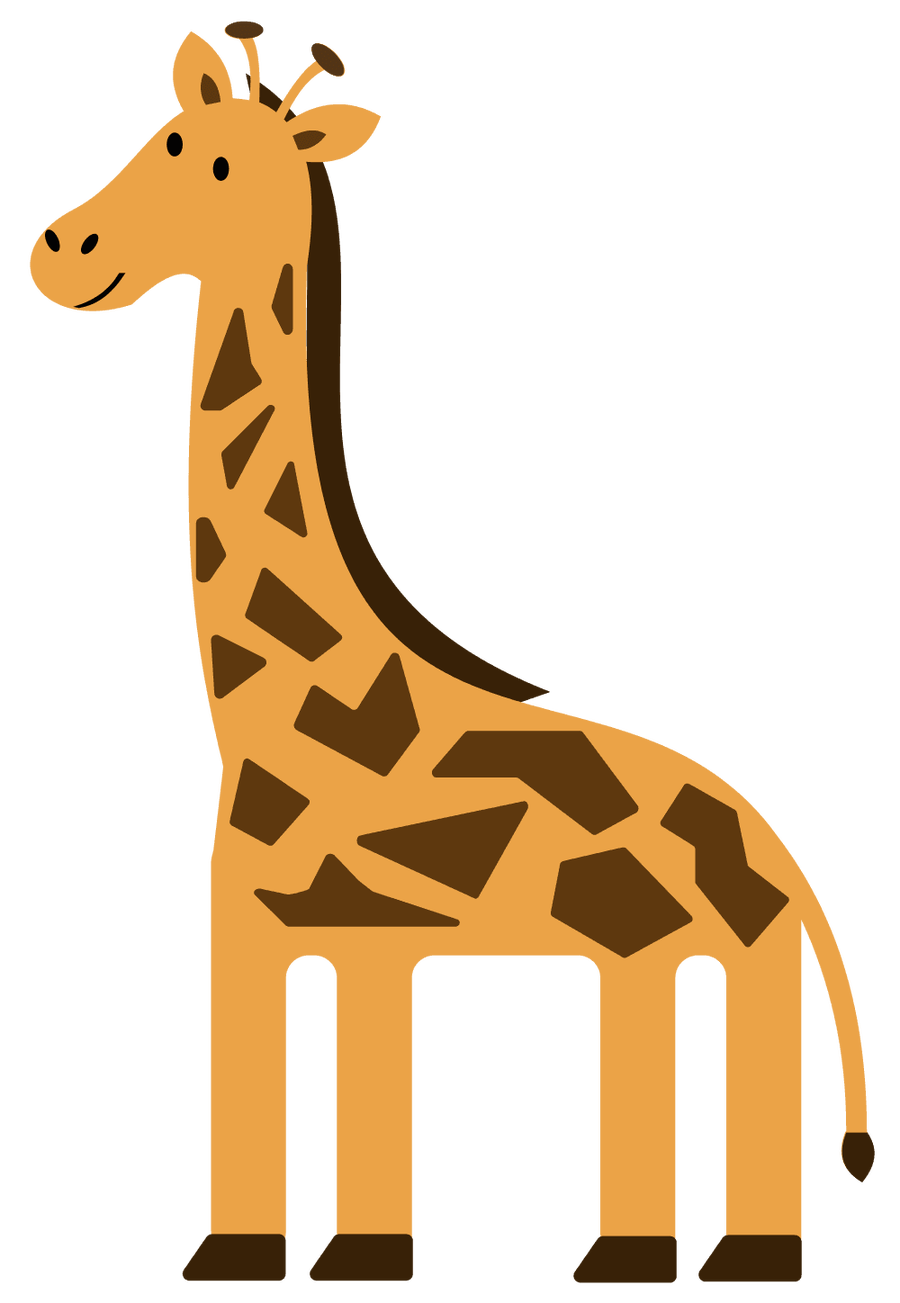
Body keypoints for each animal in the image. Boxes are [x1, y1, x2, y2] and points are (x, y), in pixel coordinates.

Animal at [25, 20, 877, 1286]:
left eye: (212, 163)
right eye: (162, 137)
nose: (59, 249)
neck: (251, 715)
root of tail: (779, 848)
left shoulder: (372, 938)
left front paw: (343, 1259)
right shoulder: (272, 935)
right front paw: (262, 1255)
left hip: (675, 953)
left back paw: (679, 1259)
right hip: (704, 958)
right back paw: (707, 1258)